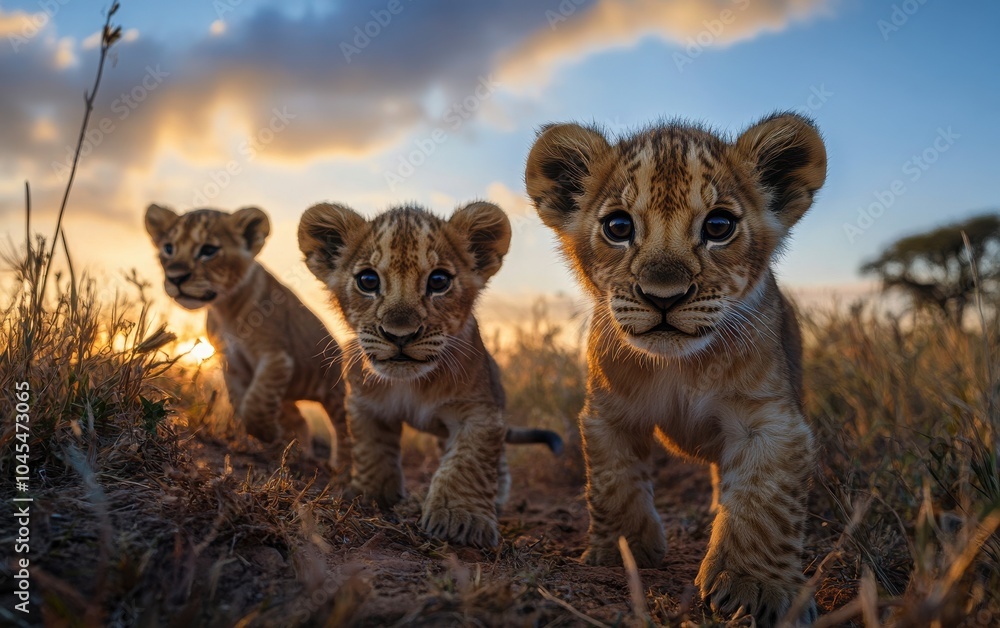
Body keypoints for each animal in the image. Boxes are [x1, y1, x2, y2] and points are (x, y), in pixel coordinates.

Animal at [144, 204, 350, 467]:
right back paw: (299, 454)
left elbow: (256, 401)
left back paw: (340, 466)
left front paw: (269, 433)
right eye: (168, 248)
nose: (175, 277)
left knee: (344, 430)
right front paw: (271, 436)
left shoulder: (277, 358)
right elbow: (242, 401)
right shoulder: (232, 362)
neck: (225, 308)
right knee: (302, 420)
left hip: (336, 392)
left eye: (209, 250)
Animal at [298, 201, 562, 548]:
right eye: (368, 280)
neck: (412, 383)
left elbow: (469, 461)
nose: (399, 334)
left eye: (438, 281)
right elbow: (371, 449)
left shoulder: (480, 411)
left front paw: (460, 519)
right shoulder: (365, 404)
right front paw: (371, 495)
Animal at [525, 112, 827, 625]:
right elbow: (614, 482)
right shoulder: (610, 414)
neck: (681, 366)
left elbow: (765, 502)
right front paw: (622, 551)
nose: (663, 296)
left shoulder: (771, 422)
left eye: (719, 226)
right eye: (618, 226)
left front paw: (754, 586)